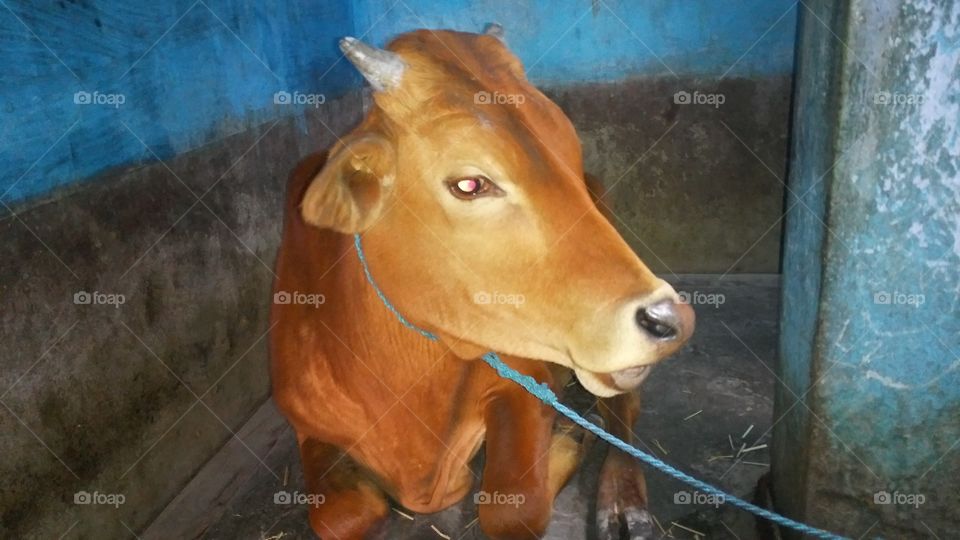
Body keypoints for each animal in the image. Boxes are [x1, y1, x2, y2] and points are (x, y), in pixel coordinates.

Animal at [270, 25, 694, 540]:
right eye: (470, 184)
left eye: (570, 152)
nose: (669, 318)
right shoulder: (305, 425)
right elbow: (340, 516)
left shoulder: (523, 378)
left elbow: (512, 507)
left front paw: (569, 440)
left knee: (623, 409)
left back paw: (622, 500)